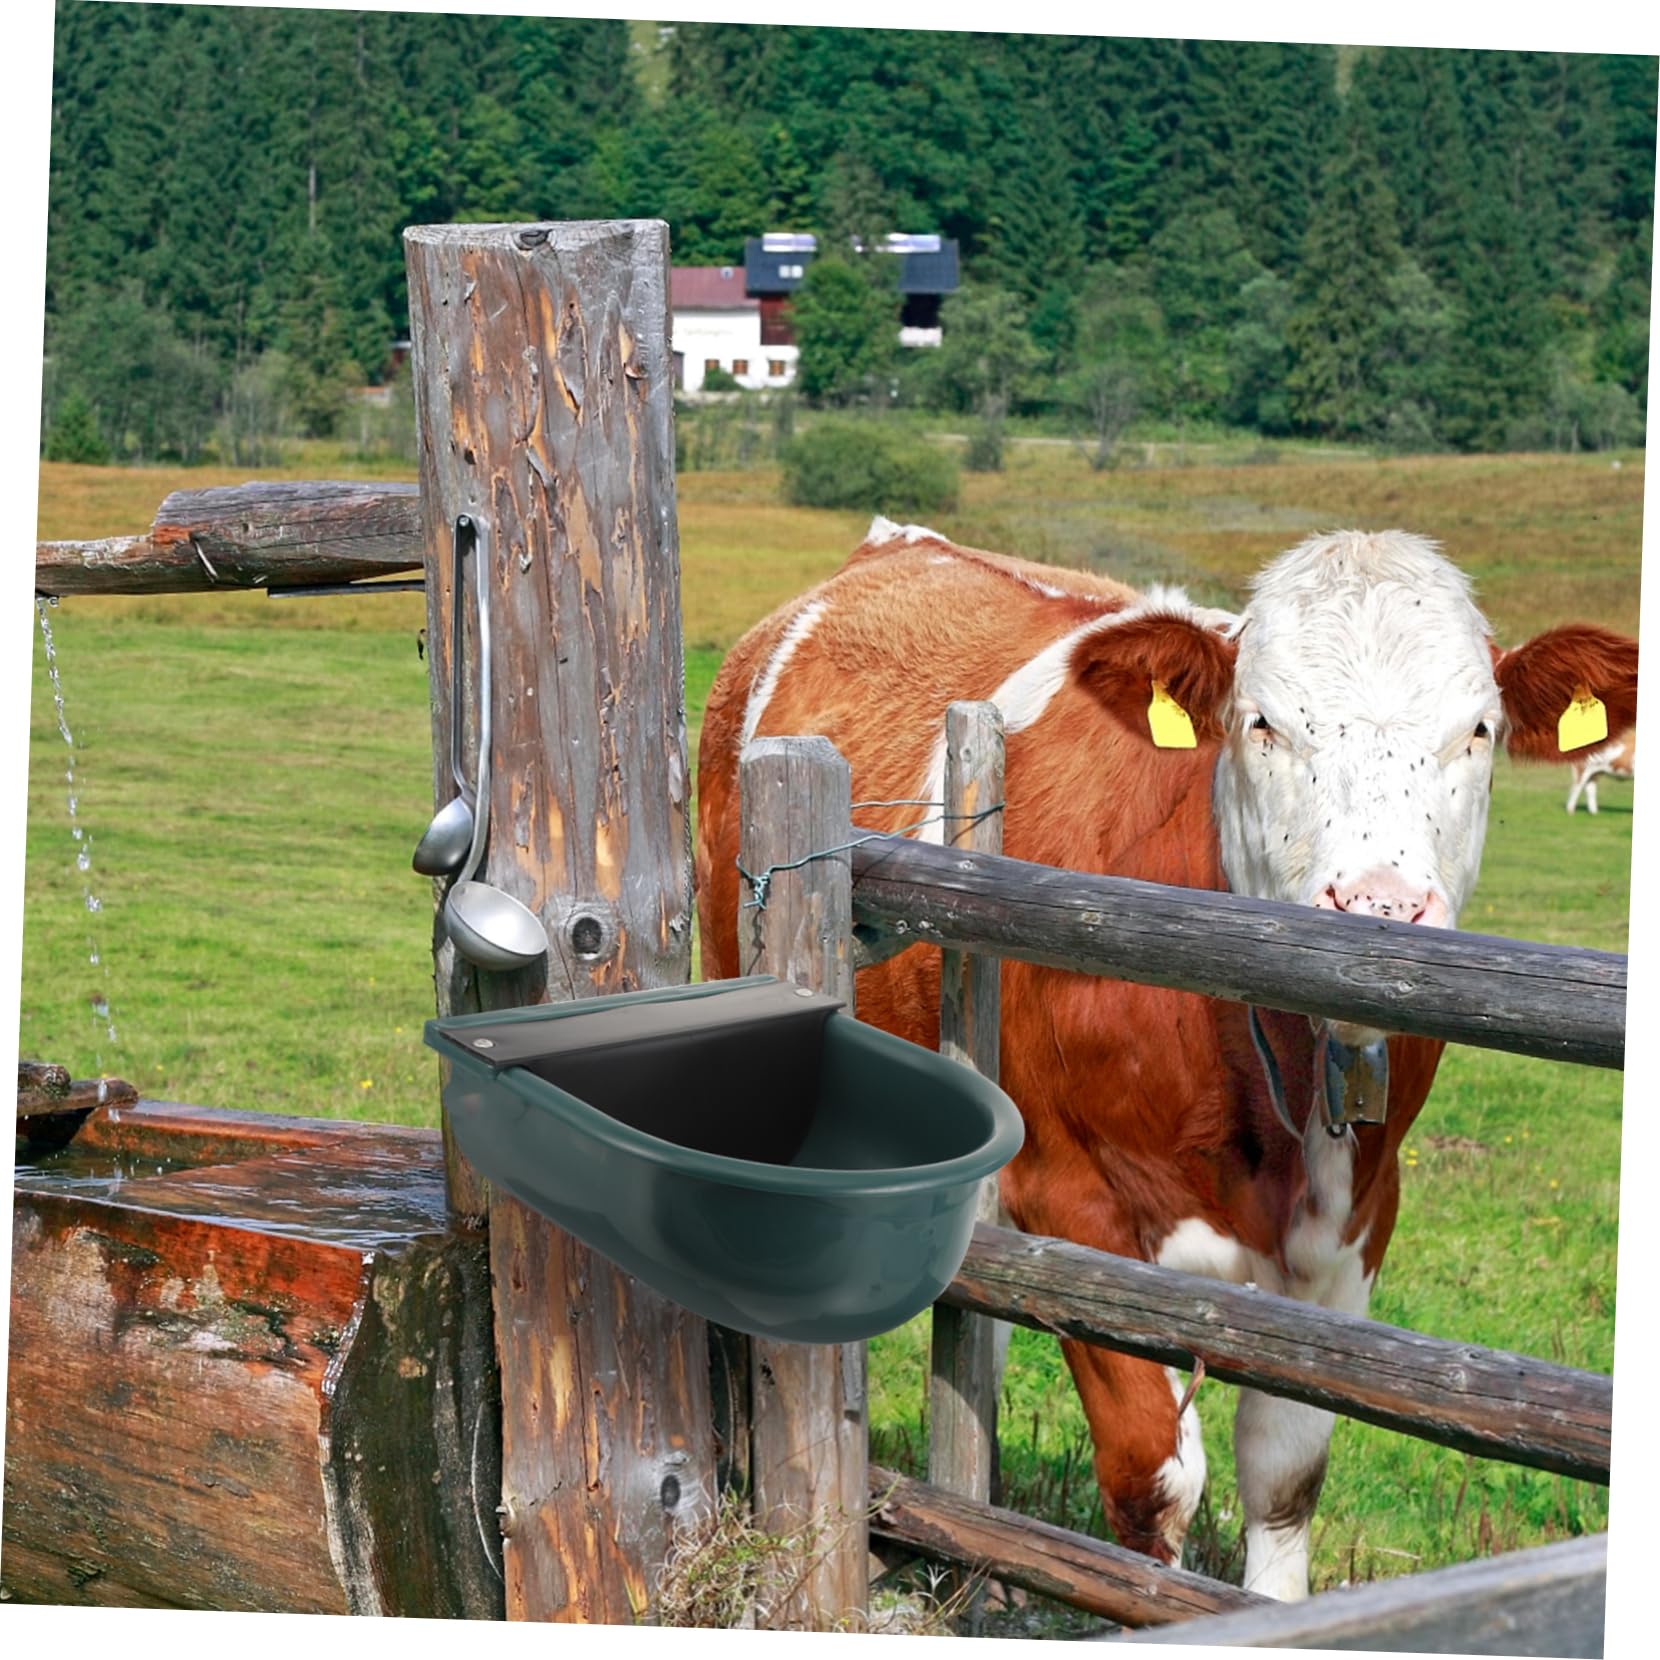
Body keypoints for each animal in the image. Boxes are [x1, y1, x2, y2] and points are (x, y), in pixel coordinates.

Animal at [693, 518, 1639, 1601]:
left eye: (1477, 730)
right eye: (1261, 722)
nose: (1377, 905)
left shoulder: (1358, 1224)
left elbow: (1285, 1472)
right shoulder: (1070, 1198)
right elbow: (1153, 1474)